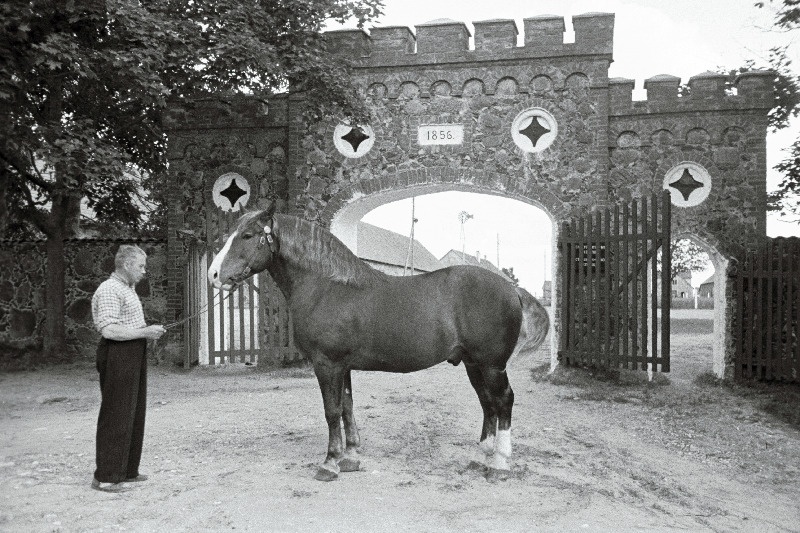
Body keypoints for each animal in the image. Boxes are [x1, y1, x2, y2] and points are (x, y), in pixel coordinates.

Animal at [209, 201, 552, 482]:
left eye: (248, 235)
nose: (213, 275)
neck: (328, 288)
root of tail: (511, 289)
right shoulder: (342, 365)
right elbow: (346, 407)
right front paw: (350, 458)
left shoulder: (327, 363)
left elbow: (331, 410)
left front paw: (330, 463)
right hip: (473, 364)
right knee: (488, 404)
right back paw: (480, 458)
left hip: (491, 365)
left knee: (503, 401)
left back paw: (499, 465)